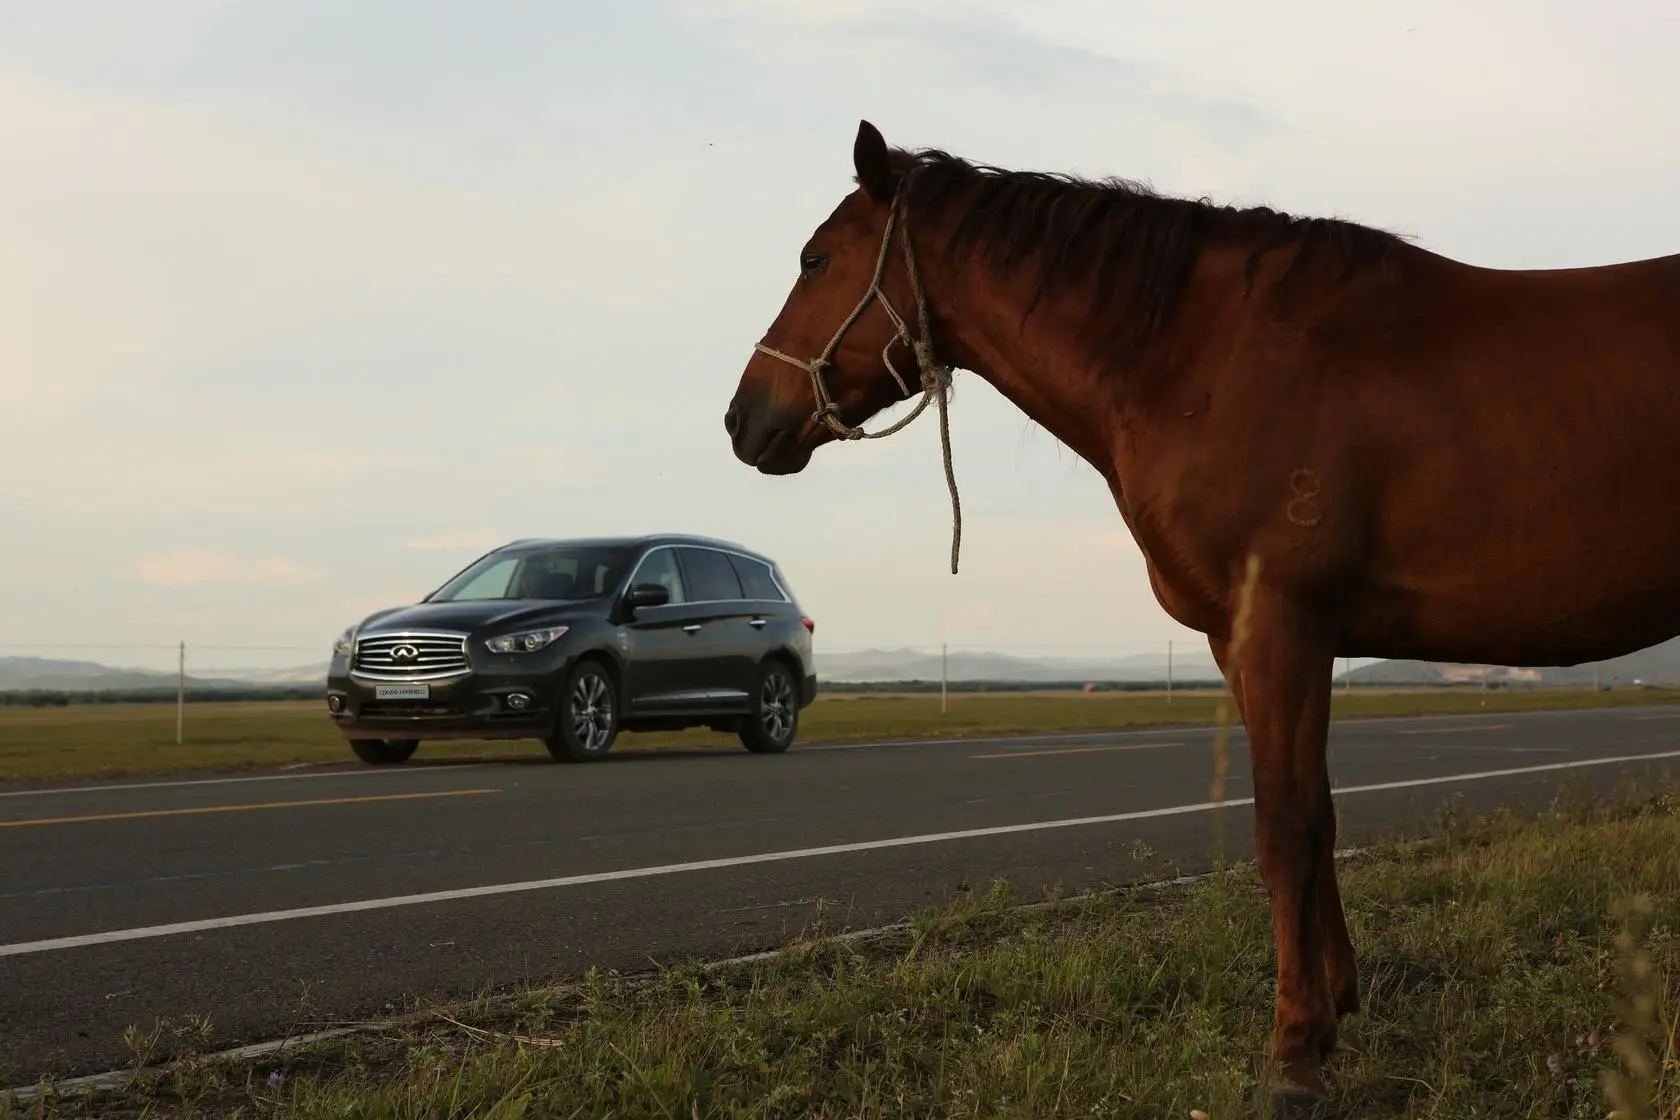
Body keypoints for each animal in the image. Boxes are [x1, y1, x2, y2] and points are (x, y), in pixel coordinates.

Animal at [729, 120, 1680, 1101]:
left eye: (815, 258)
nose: (742, 418)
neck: (1203, 357)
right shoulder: (1249, 641)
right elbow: (1317, 814)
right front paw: (1334, 1002)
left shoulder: (1283, 627)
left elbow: (1285, 828)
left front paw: (1294, 1052)